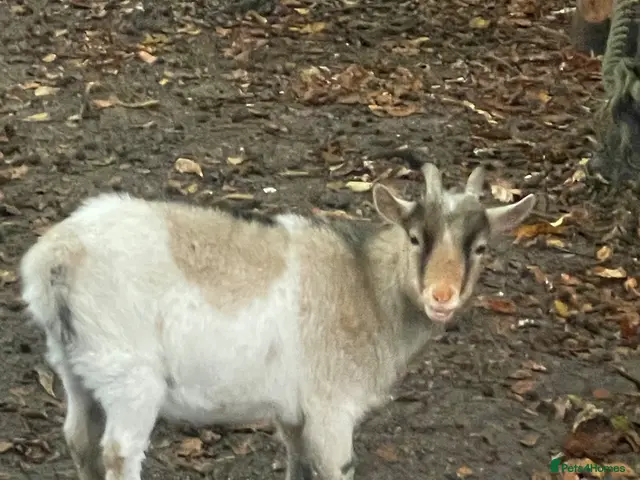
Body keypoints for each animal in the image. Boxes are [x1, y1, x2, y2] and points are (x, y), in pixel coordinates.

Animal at [20, 163, 535, 480]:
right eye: (414, 238)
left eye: (480, 248)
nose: (441, 297)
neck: (364, 283)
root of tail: (56, 260)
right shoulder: (331, 409)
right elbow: (335, 468)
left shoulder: (294, 411)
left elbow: (297, 463)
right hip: (130, 377)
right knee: (119, 452)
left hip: (76, 366)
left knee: (79, 438)